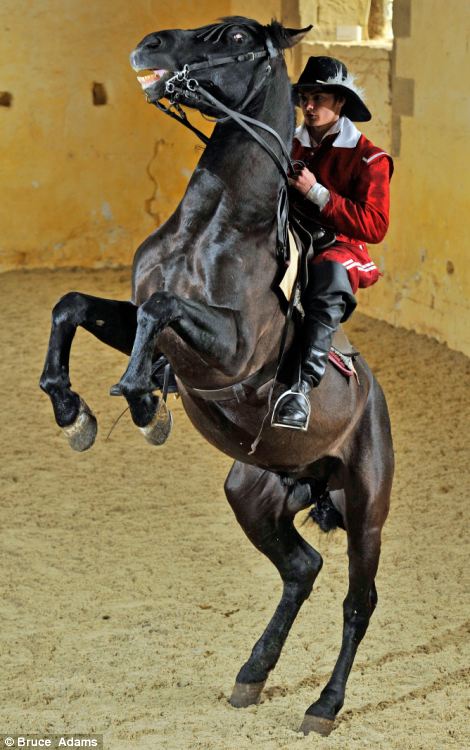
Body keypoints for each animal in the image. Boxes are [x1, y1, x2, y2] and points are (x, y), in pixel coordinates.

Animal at [39, 17, 392, 740]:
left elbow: (159, 310)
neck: (216, 225)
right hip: (254, 493)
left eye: (230, 35)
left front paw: (145, 402)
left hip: (366, 507)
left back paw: (324, 707)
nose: (148, 44)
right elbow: (75, 306)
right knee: (302, 568)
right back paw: (252, 675)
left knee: (357, 601)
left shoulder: (229, 352)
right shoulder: (138, 316)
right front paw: (72, 412)